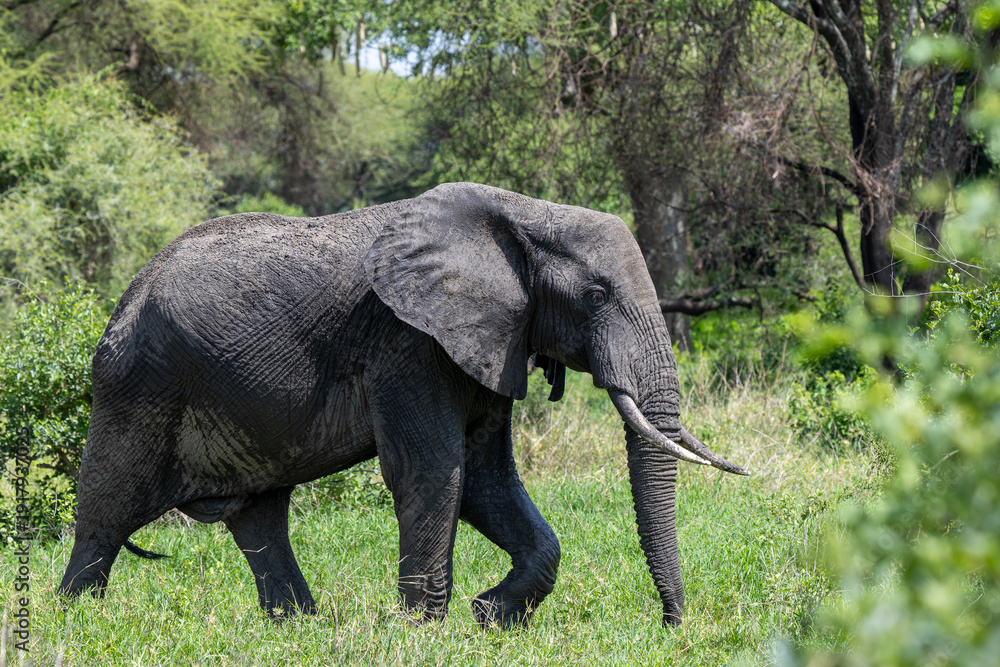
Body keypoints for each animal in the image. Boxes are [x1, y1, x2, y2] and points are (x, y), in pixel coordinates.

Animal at [59, 182, 747, 628]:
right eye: (597, 295)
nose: (670, 625)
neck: (524, 216)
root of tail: (126, 293)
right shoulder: (407, 342)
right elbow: (435, 470)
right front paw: (426, 633)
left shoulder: (487, 338)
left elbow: (487, 478)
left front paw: (489, 616)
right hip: (138, 385)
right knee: (107, 510)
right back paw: (76, 619)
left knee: (260, 516)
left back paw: (300, 628)